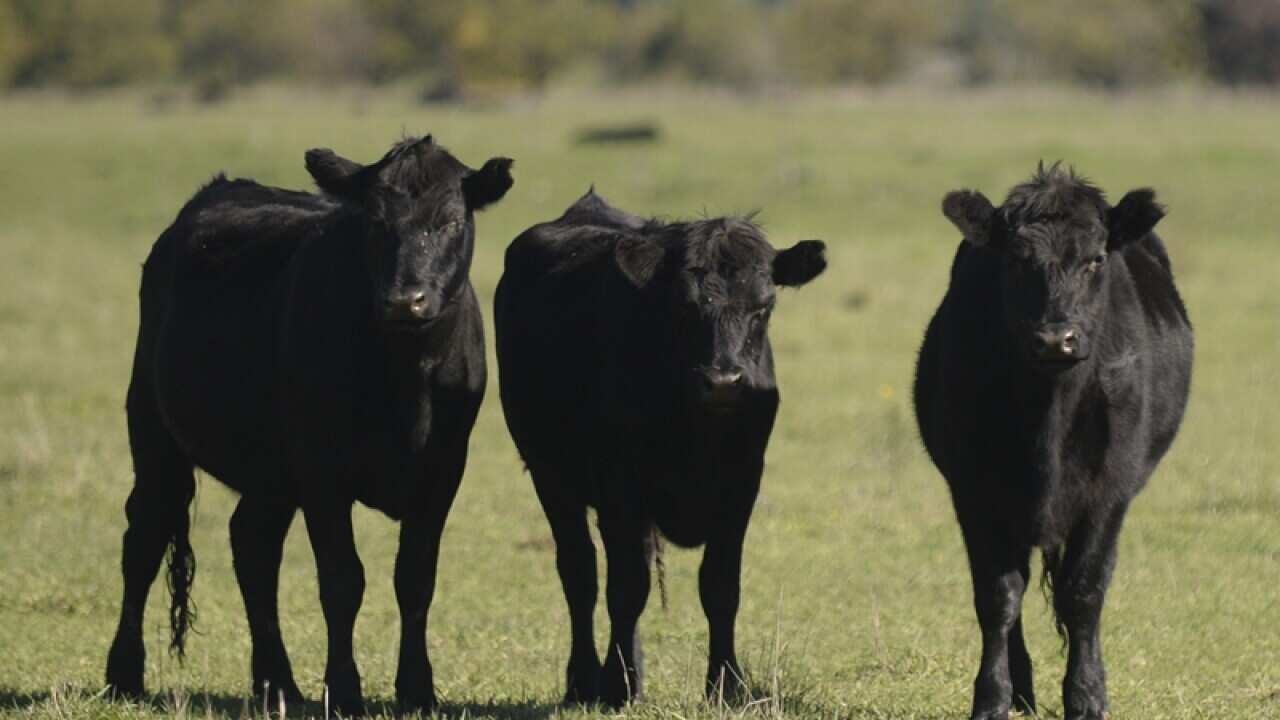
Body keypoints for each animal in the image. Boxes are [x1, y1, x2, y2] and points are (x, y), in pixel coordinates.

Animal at [103, 135, 513, 715]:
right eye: (374, 221)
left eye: (452, 219)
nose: (405, 300)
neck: (404, 377)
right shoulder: (322, 472)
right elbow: (343, 580)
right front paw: (343, 690)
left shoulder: (442, 470)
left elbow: (415, 579)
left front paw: (417, 689)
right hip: (154, 428)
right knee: (144, 535)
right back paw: (124, 673)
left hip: (271, 473)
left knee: (252, 544)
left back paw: (276, 683)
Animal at [494, 189, 827, 707]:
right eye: (685, 308)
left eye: (764, 306)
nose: (723, 381)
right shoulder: (619, 489)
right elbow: (626, 588)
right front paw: (615, 683)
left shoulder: (742, 484)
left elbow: (720, 586)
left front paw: (726, 684)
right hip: (550, 476)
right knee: (580, 574)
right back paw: (583, 679)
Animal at [913, 163, 1193, 720]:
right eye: (1017, 260)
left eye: (1095, 259)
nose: (1054, 339)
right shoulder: (974, 492)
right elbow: (997, 596)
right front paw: (992, 699)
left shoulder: (1109, 494)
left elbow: (1083, 594)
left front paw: (1087, 697)